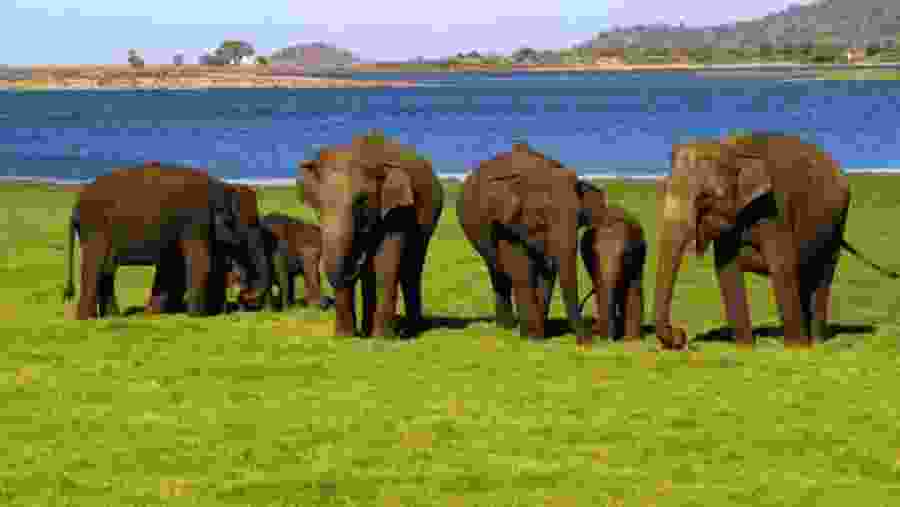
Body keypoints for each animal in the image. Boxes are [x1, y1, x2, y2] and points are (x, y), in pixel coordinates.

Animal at [62, 165, 271, 319]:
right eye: (249, 224)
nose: (244, 295)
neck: (223, 186)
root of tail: (75, 206)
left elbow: (172, 265)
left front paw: (153, 314)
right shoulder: (195, 221)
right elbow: (200, 262)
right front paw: (196, 316)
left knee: (106, 269)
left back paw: (111, 317)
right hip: (96, 228)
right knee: (95, 266)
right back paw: (86, 318)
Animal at [297, 131, 445, 337]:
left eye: (361, 201)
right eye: (319, 202)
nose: (356, 261)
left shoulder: (398, 210)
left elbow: (385, 262)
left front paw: (382, 338)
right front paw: (344, 337)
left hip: (430, 215)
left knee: (412, 267)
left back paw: (411, 330)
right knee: (372, 274)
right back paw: (369, 329)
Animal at [457, 142, 601, 345]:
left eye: (579, 216)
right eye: (541, 216)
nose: (589, 341)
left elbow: (547, 274)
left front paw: (539, 334)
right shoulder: (505, 223)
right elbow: (521, 270)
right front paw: (531, 337)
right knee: (496, 269)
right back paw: (506, 327)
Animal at [578, 203, 647, 341]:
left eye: (626, 254)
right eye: (594, 253)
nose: (610, 339)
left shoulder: (638, 257)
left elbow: (633, 288)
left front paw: (631, 339)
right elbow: (601, 288)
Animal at [654, 132, 899, 349]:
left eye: (705, 198)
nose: (681, 336)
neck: (733, 147)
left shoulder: (775, 208)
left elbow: (780, 265)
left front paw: (795, 349)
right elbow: (727, 271)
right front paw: (745, 348)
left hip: (838, 221)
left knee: (822, 275)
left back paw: (816, 341)